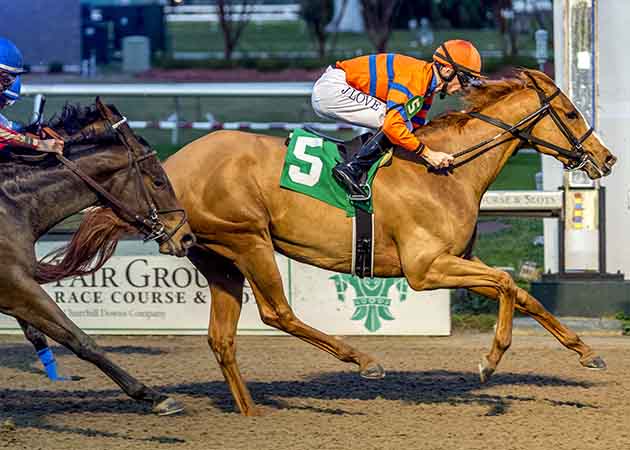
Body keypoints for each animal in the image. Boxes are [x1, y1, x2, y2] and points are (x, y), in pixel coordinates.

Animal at [1, 97, 195, 414]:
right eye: (158, 181)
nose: (186, 237)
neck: (11, 204)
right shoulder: (16, 285)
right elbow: (80, 339)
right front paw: (153, 394)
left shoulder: (14, 290)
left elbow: (50, 335)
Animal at [159, 70, 616, 414]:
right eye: (571, 113)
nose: (607, 158)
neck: (448, 171)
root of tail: (171, 166)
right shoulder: (425, 268)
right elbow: (506, 283)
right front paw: (490, 361)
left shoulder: (456, 261)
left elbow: (523, 295)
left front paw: (586, 351)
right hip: (248, 238)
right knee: (277, 313)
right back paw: (364, 361)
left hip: (218, 258)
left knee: (222, 338)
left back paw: (251, 412)